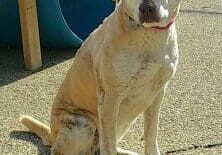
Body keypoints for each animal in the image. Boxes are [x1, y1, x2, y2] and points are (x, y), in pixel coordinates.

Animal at [20, 0, 180, 154]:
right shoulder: (110, 99)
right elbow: (108, 146)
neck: (150, 34)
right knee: (59, 150)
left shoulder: (157, 94)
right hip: (82, 127)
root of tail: (52, 134)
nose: (147, 8)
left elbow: (151, 133)